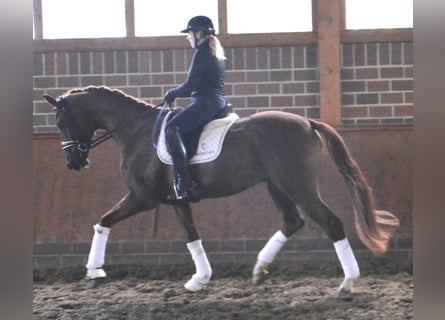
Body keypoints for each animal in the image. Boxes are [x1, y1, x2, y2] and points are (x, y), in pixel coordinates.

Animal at [44, 85, 398, 296]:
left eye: (61, 122)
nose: (73, 163)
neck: (136, 131)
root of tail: (308, 123)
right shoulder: (176, 200)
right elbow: (192, 236)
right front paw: (199, 279)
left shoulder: (143, 198)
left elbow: (104, 220)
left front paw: (94, 270)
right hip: (277, 185)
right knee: (292, 222)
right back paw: (259, 269)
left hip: (298, 186)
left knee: (331, 223)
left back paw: (347, 282)